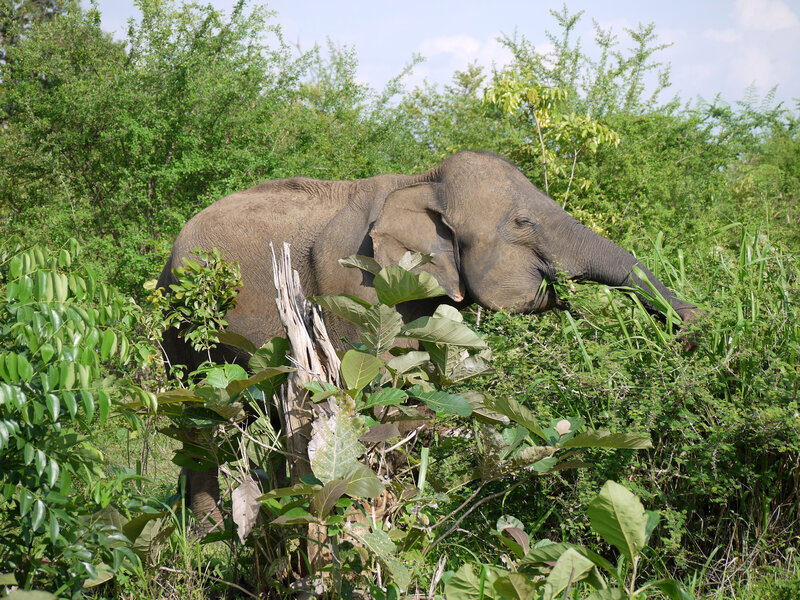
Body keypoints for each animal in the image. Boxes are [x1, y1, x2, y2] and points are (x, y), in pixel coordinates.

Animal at [157, 150, 702, 528]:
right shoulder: (357, 285)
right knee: (198, 425)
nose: (695, 333)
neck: (421, 180)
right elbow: (378, 396)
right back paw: (207, 536)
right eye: (522, 223)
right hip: (181, 329)